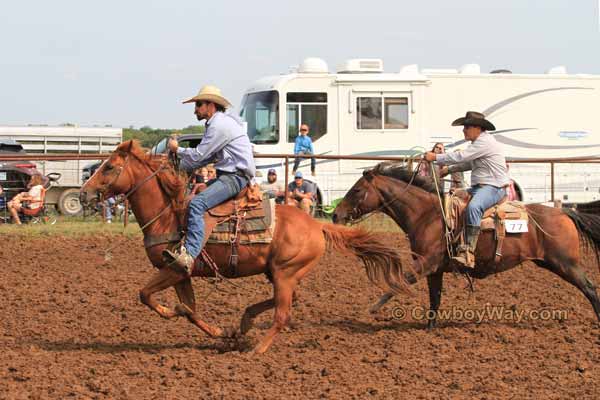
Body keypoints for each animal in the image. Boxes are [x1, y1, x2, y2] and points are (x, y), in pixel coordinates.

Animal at [79, 141, 410, 354]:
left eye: (109, 167)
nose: (83, 194)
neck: (168, 215)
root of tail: (317, 225)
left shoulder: (173, 269)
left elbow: (147, 295)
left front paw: (171, 311)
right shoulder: (182, 274)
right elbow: (191, 310)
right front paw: (222, 332)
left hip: (285, 273)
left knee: (282, 314)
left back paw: (257, 351)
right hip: (279, 273)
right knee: (286, 301)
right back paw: (245, 321)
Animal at [332, 162, 600, 328]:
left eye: (357, 190)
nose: (335, 214)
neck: (428, 215)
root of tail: (565, 213)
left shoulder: (425, 264)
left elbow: (398, 283)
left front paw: (372, 309)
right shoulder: (435, 269)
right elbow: (435, 298)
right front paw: (429, 328)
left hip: (565, 263)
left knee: (589, 287)